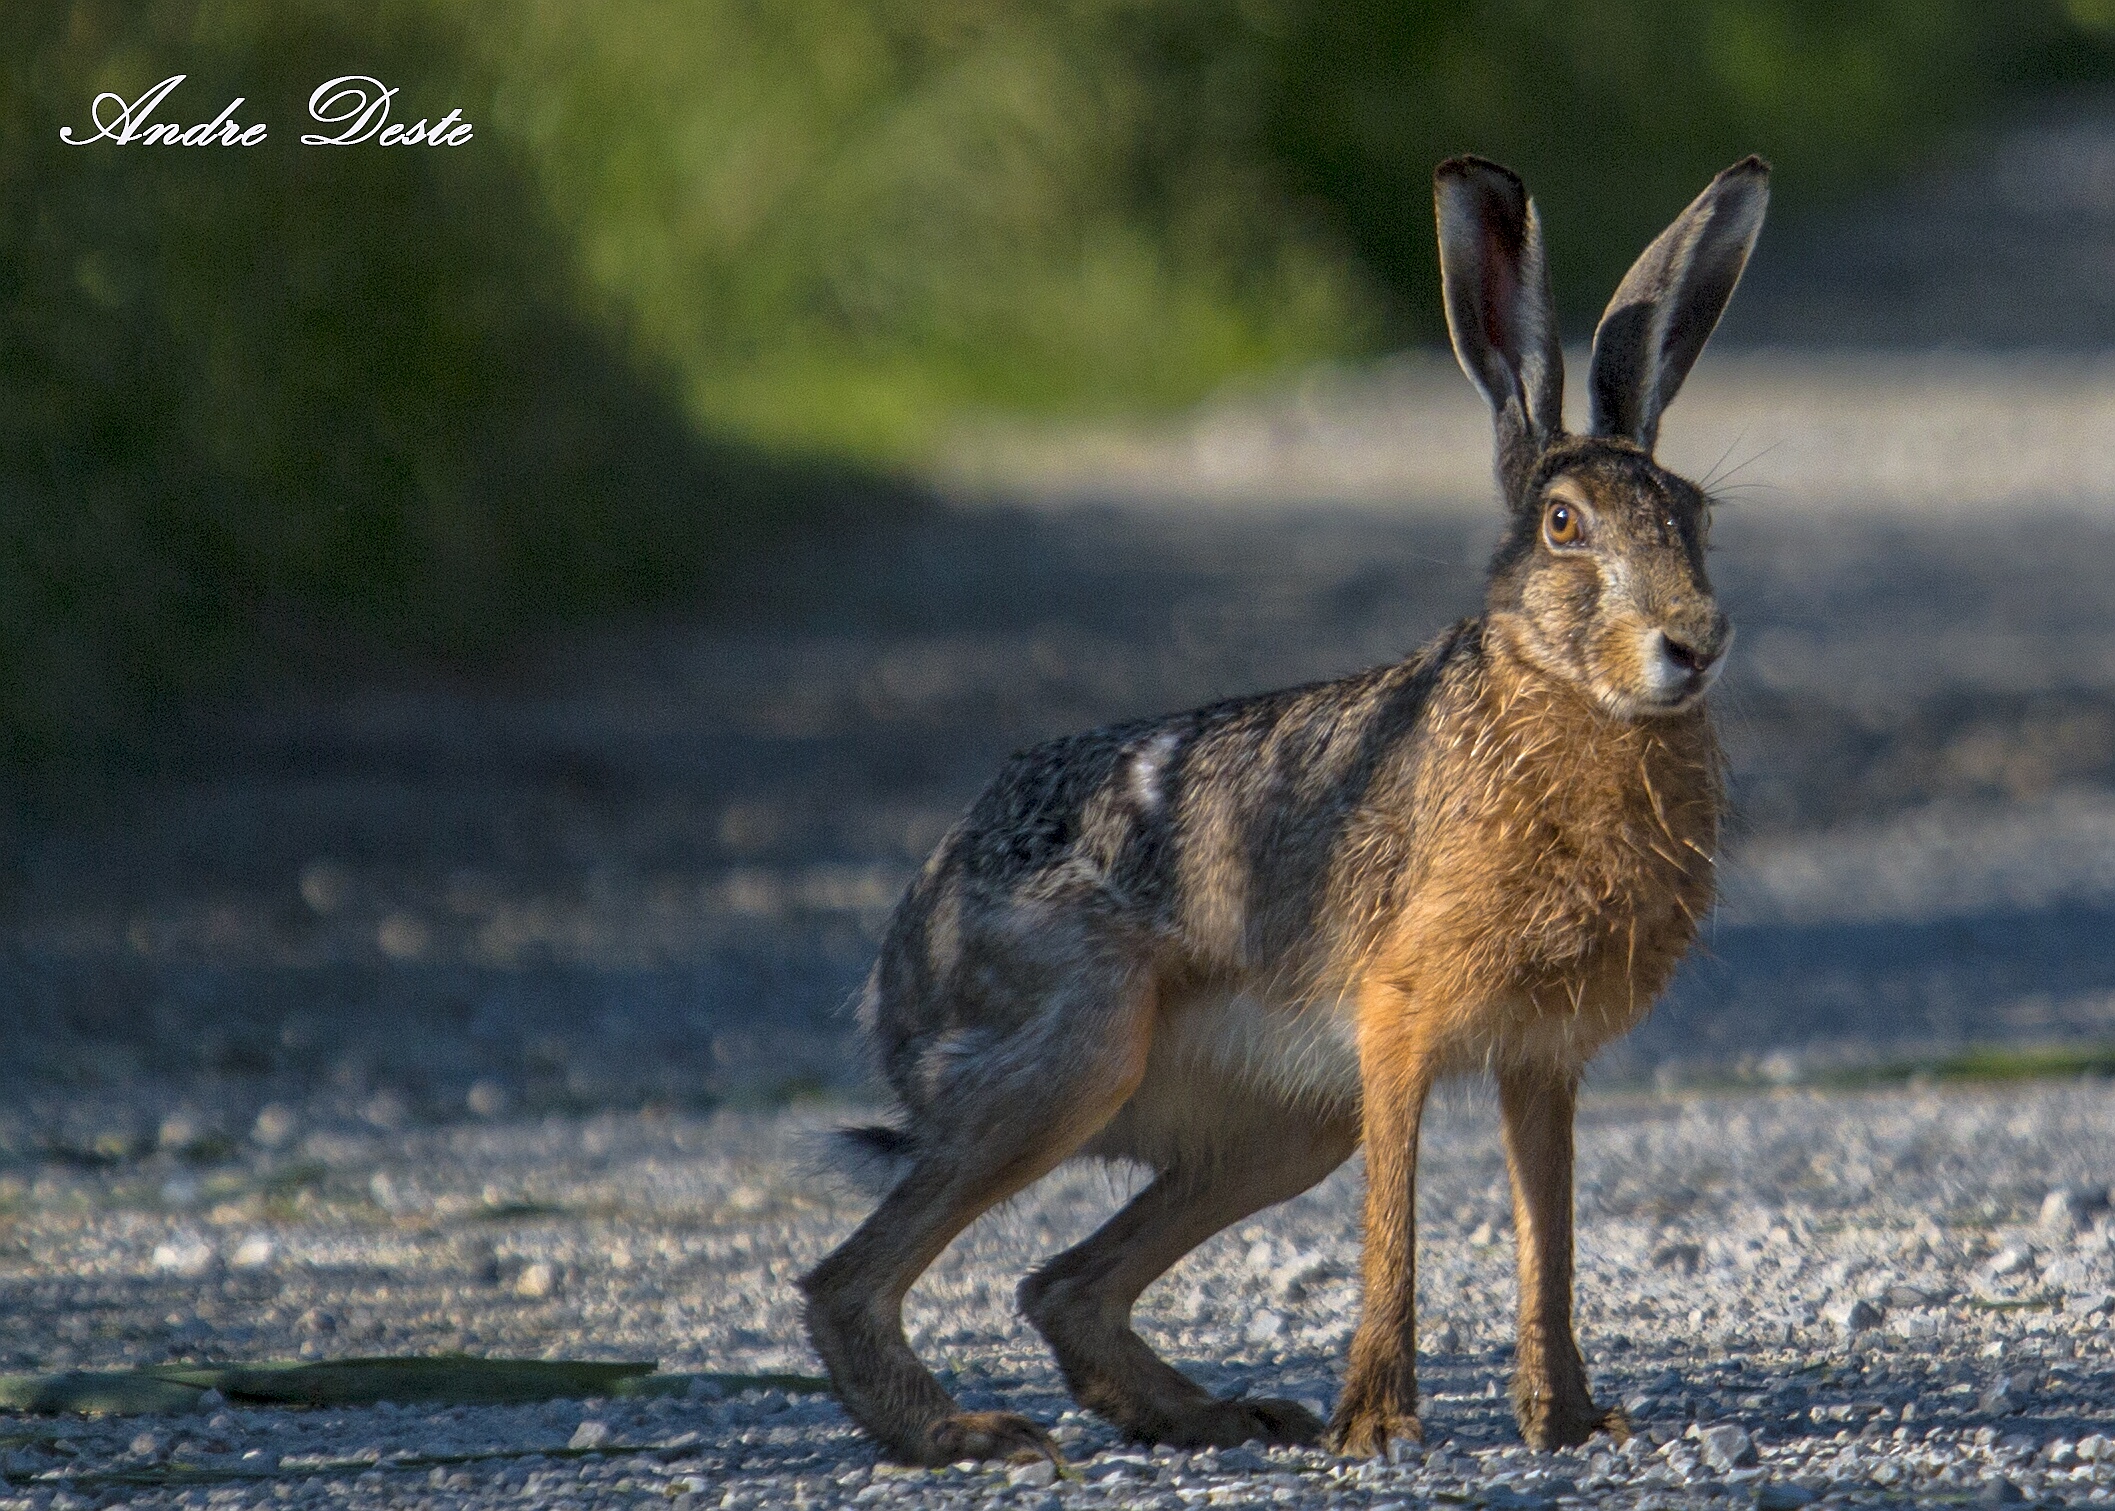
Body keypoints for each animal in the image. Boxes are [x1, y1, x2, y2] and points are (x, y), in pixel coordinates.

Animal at [800, 153, 1769, 1465]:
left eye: (1698, 515)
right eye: (1566, 525)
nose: (1694, 642)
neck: (1560, 694)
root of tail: (903, 971)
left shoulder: (1540, 1058)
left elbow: (1550, 1243)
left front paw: (1570, 1420)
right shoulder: (1398, 1019)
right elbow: (1395, 1232)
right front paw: (1377, 1425)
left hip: (1283, 1124)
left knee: (1061, 1284)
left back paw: (1217, 1412)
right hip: (1074, 1055)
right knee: (849, 1281)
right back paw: (971, 1433)